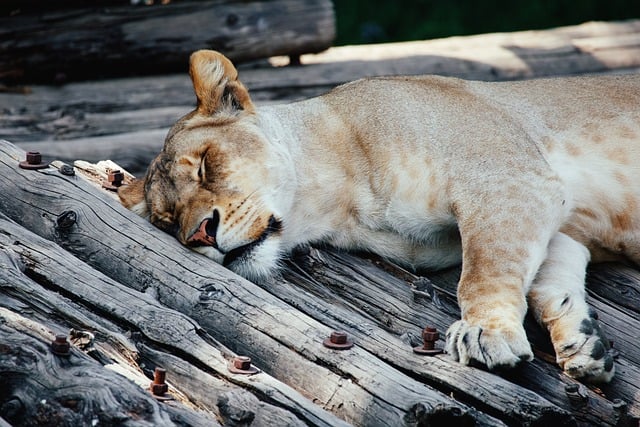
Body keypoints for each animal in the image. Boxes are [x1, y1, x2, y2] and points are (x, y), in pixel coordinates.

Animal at [119, 49, 640, 383]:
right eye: (169, 222)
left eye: (206, 164)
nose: (201, 235)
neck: (341, 203)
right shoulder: (556, 219)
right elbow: (549, 277)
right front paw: (583, 341)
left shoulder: (508, 177)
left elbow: (483, 270)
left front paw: (487, 332)